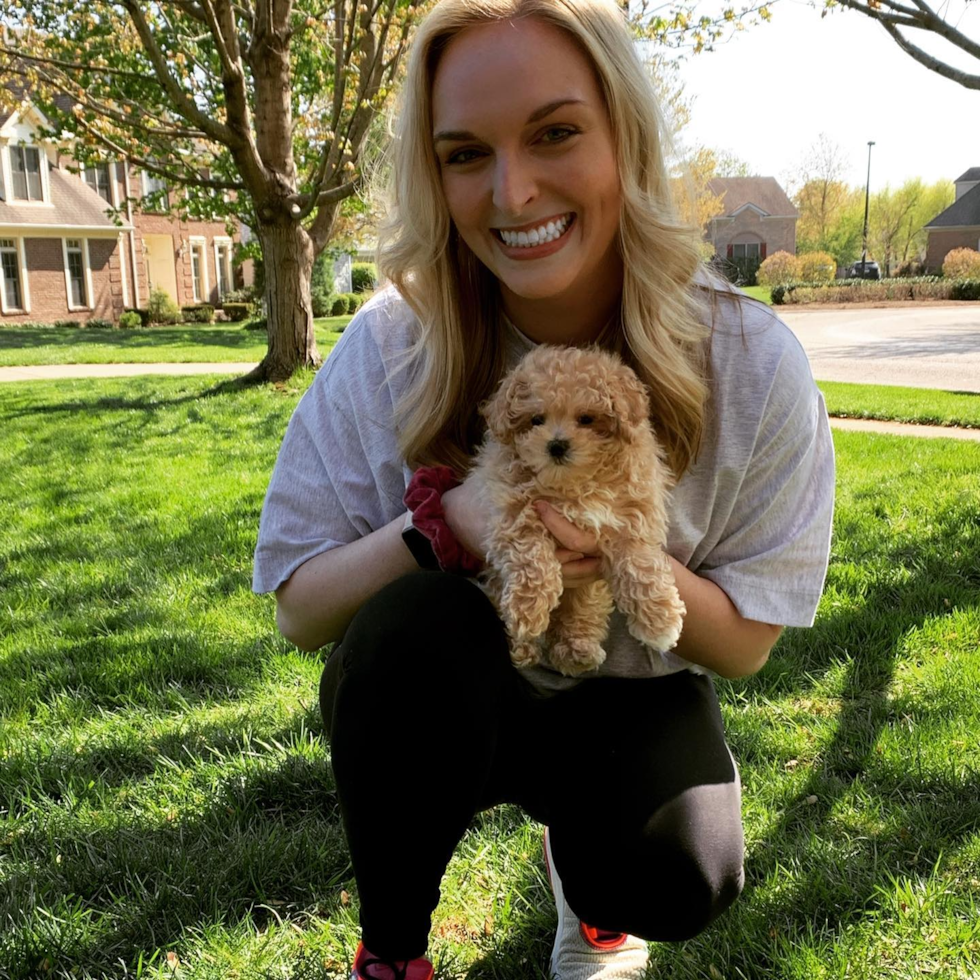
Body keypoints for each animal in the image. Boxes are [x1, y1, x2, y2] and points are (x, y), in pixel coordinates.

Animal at [470, 348, 684, 676]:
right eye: (536, 419)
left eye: (586, 419)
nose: (557, 445)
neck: (575, 484)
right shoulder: (515, 512)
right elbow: (531, 557)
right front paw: (527, 610)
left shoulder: (631, 518)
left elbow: (641, 565)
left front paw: (661, 621)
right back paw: (523, 646)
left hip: (589, 594)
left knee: (582, 612)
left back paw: (577, 651)